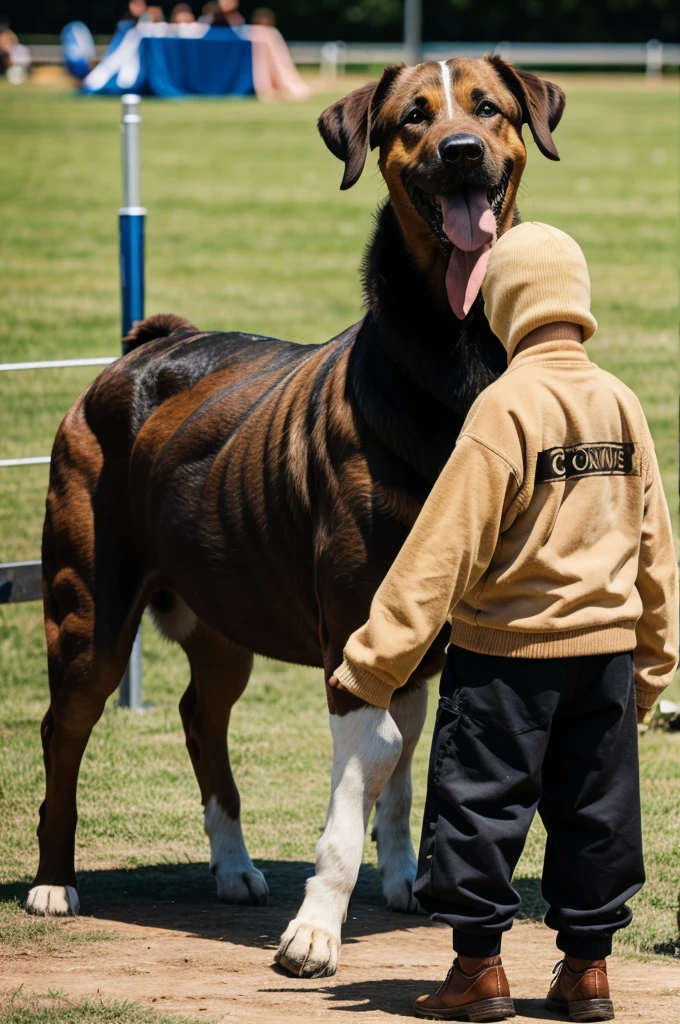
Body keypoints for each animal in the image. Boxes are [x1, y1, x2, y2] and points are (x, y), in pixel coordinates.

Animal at [26, 56, 565, 974]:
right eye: (413, 117)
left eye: (488, 108)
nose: (460, 151)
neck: (450, 352)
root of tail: (143, 350)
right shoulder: (354, 628)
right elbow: (373, 757)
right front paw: (316, 927)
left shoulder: (426, 633)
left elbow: (401, 757)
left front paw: (402, 879)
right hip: (87, 608)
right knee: (65, 727)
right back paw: (55, 881)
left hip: (222, 607)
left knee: (202, 714)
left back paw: (234, 866)